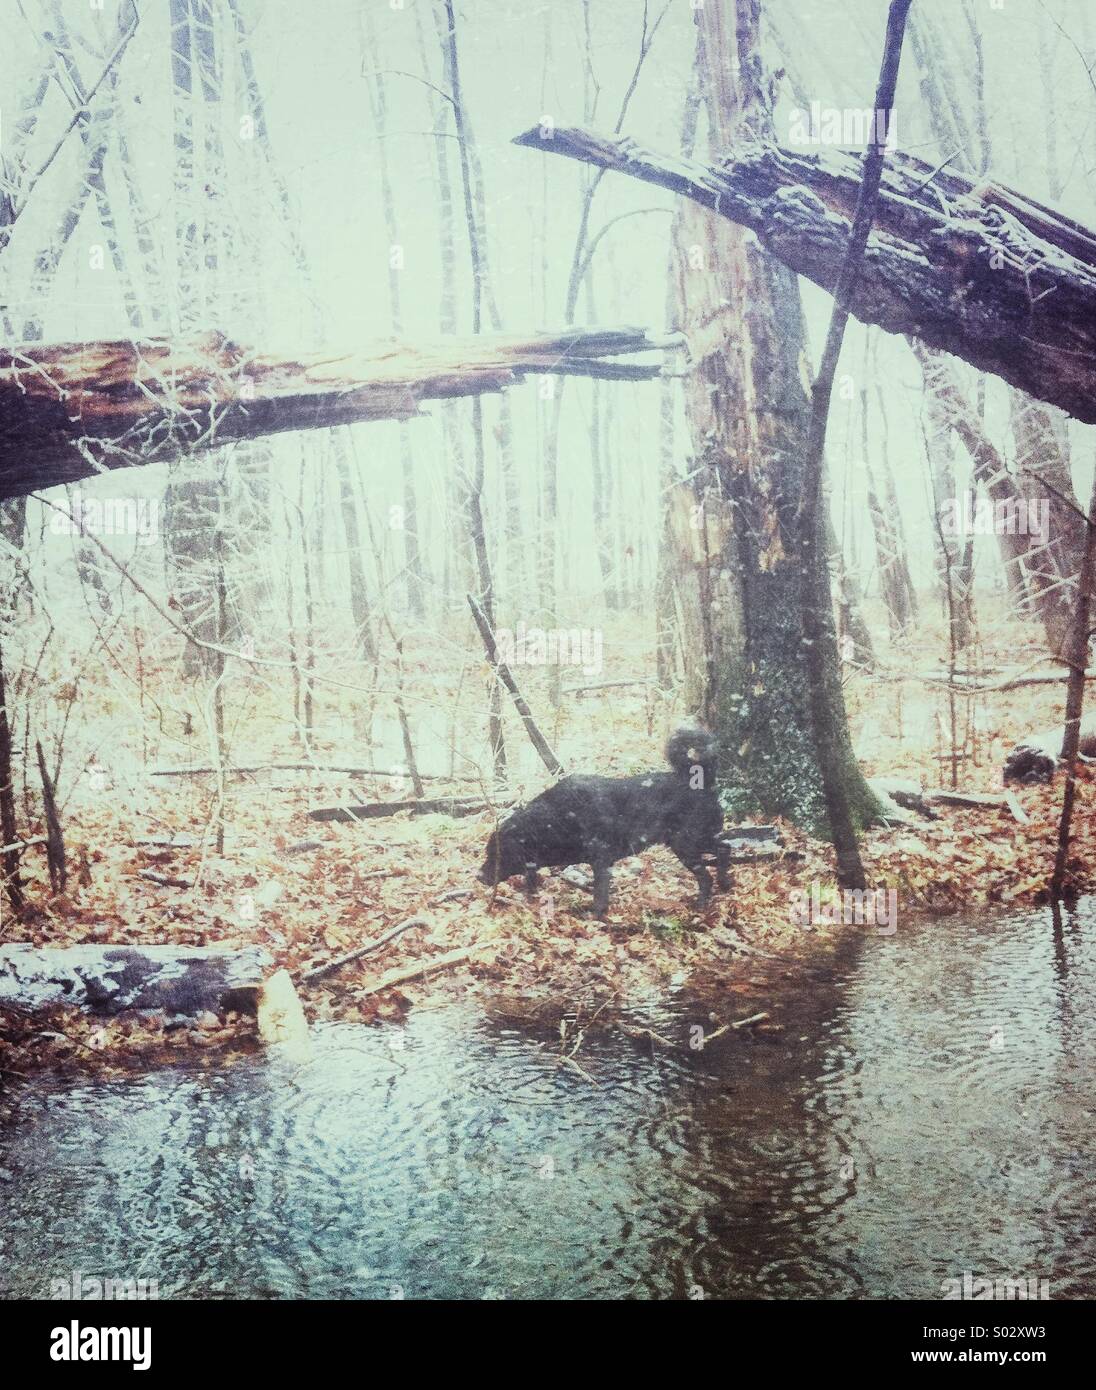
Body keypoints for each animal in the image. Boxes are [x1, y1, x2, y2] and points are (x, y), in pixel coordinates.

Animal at [478, 722, 728, 917]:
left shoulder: (601, 860)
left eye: (496, 854)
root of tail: (702, 780)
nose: (478, 876)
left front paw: (596, 915)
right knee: (724, 847)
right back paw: (726, 883)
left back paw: (703, 902)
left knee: (708, 872)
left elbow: (600, 894)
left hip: (686, 843)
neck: (554, 820)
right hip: (693, 841)